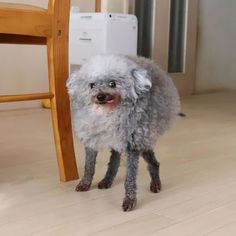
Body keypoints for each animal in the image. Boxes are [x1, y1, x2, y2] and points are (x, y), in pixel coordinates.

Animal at [67, 54, 181, 211]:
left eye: (112, 83)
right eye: (92, 85)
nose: (100, 96)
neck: (109, 113)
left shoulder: (132, 145)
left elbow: (130, 179)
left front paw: (130, 200)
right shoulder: (91, 141)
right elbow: (89, 166)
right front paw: (85, 184)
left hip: (141, 140)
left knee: (154, 163)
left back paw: (155, 184)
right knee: (114, 160)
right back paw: (107, 180)